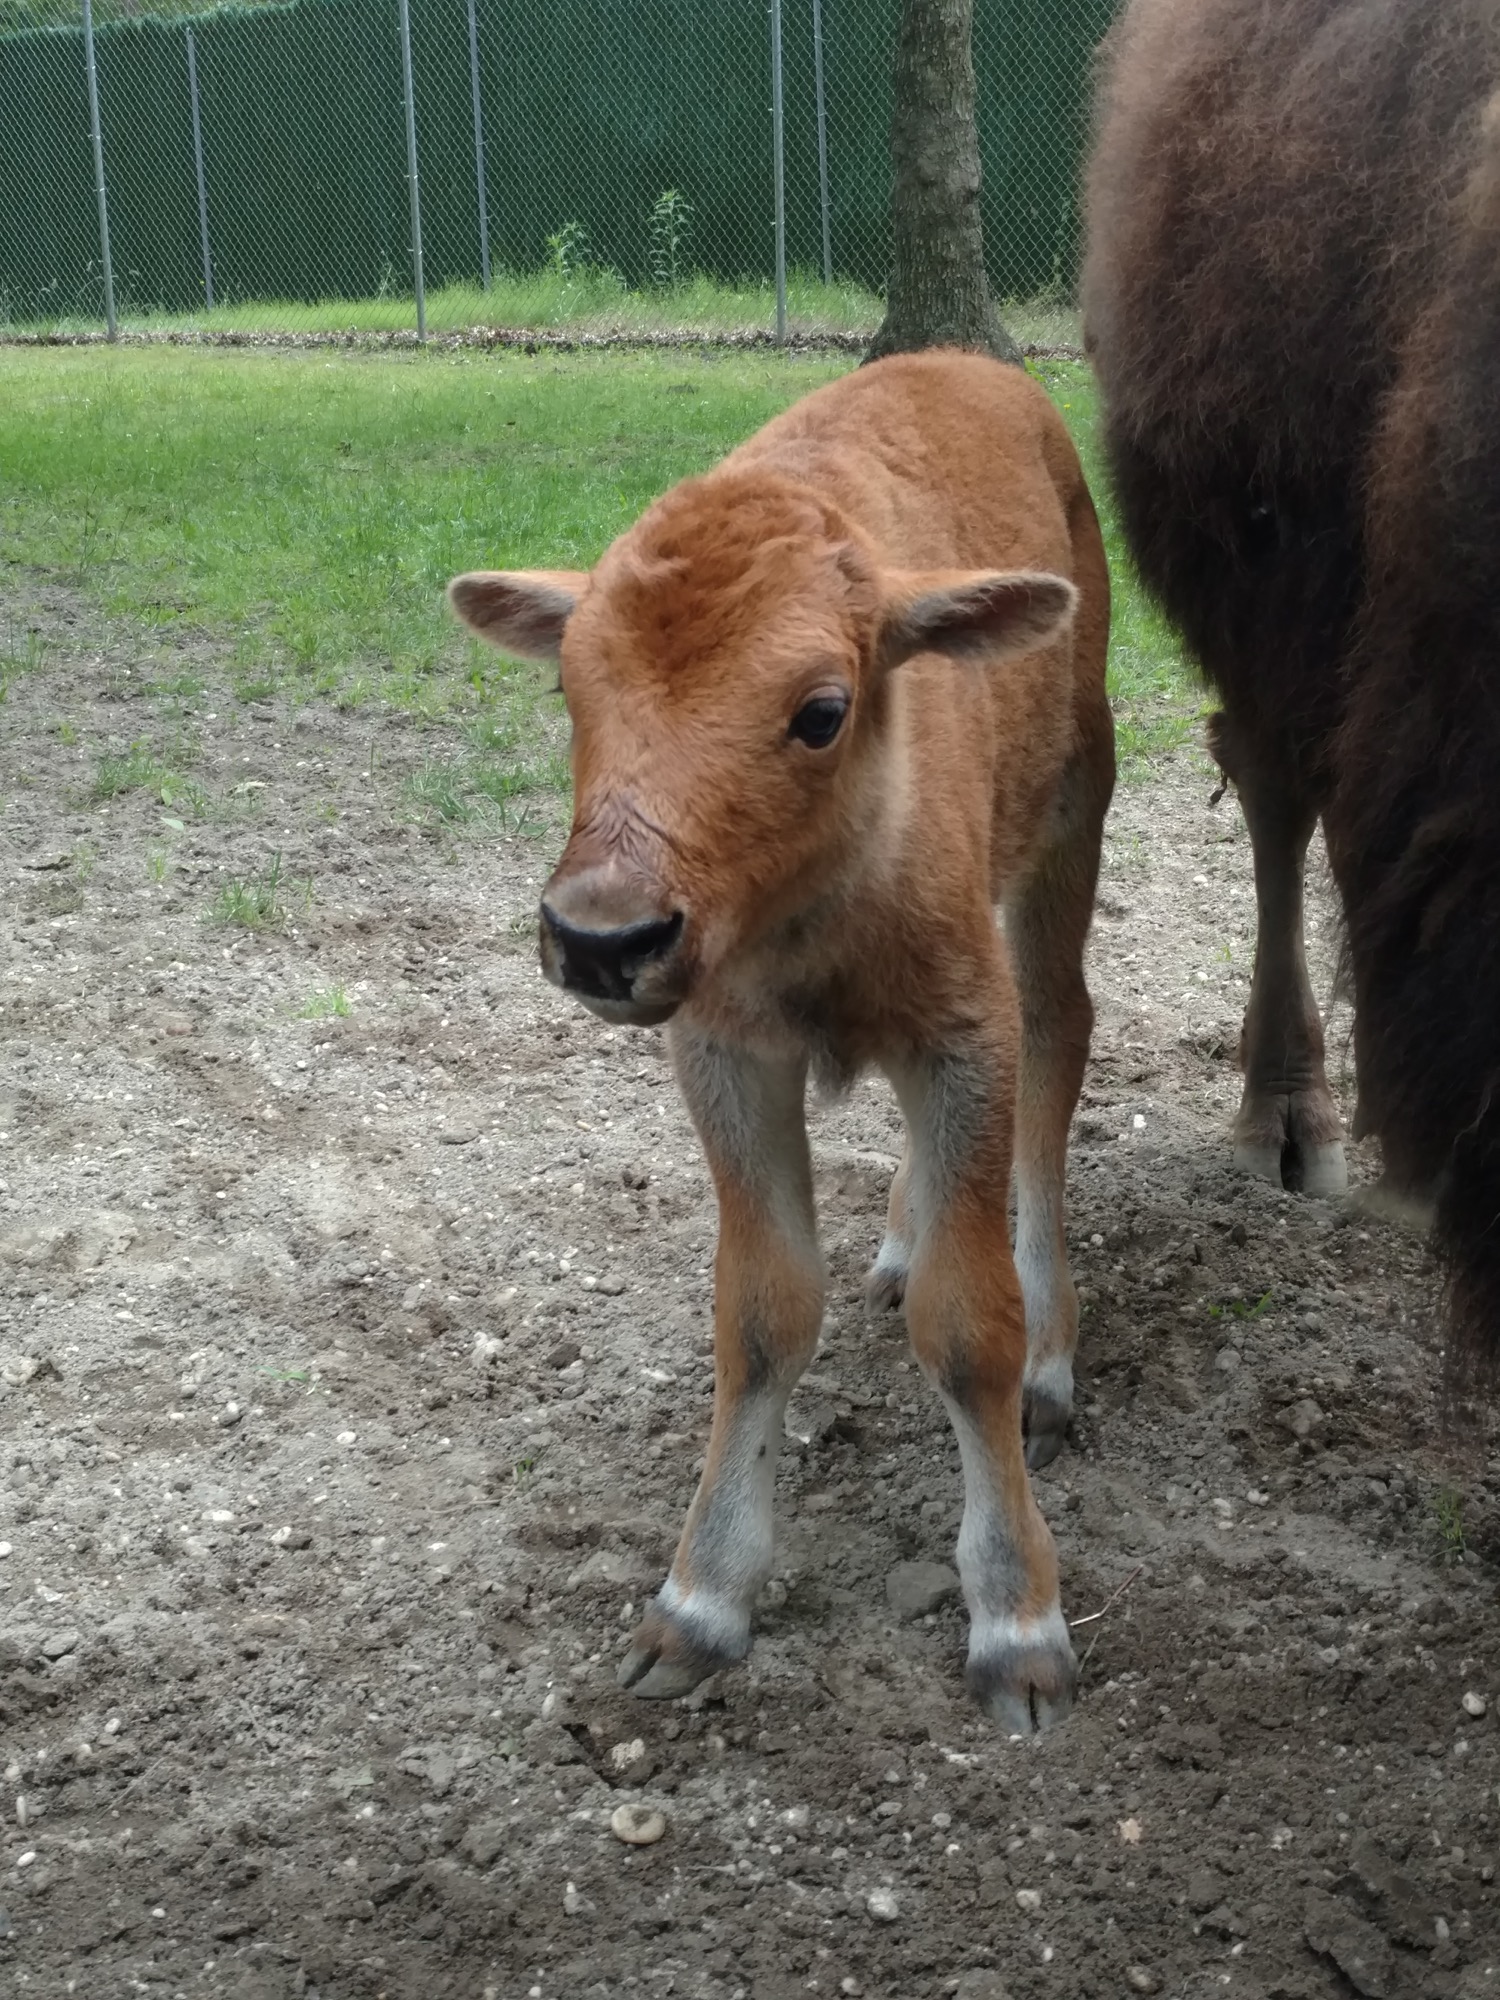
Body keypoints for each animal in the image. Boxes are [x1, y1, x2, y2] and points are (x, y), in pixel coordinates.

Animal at [456, 352, 1120, 1728]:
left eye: (820, 709)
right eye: (567, 683)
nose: (599, 936)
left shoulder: (964, 1029)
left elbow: (971, 1326)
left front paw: (1019, 1626)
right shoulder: (726, 1054)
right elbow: (761, 1312)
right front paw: (696, 1607)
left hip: (1071, 815)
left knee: (1061, 1040)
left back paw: (1055, 1352)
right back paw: (898, 1244)